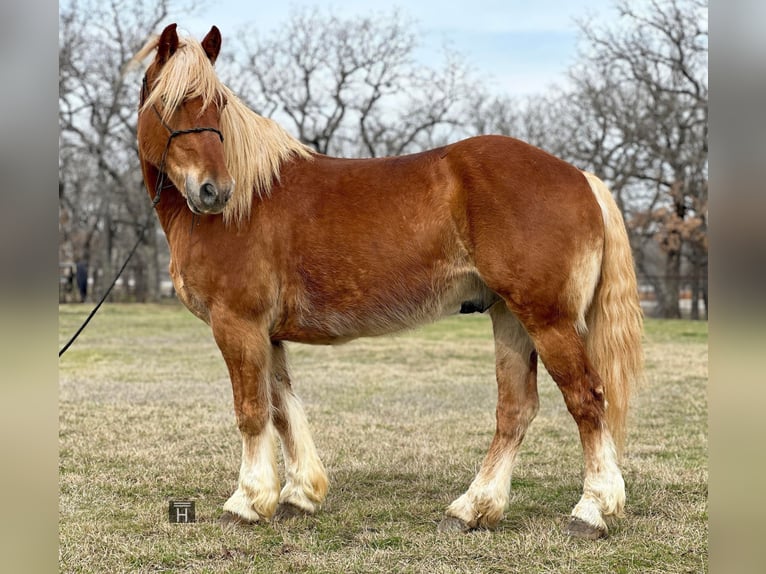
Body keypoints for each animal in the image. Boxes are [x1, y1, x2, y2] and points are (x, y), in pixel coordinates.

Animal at [132, 24, 640, 540]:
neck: (251, 198)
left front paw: (248, 501)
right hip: (511, 316)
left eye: (217, 104)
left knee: (586, 399)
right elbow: (281, 408)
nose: (213, 191)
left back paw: (591, 509)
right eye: (168, 102)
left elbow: (252, 411)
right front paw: (300, 494)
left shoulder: (237, 324)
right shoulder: (266, 333)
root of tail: (581, 177)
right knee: (516, 409)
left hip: (548, 320)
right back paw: (472, 509)